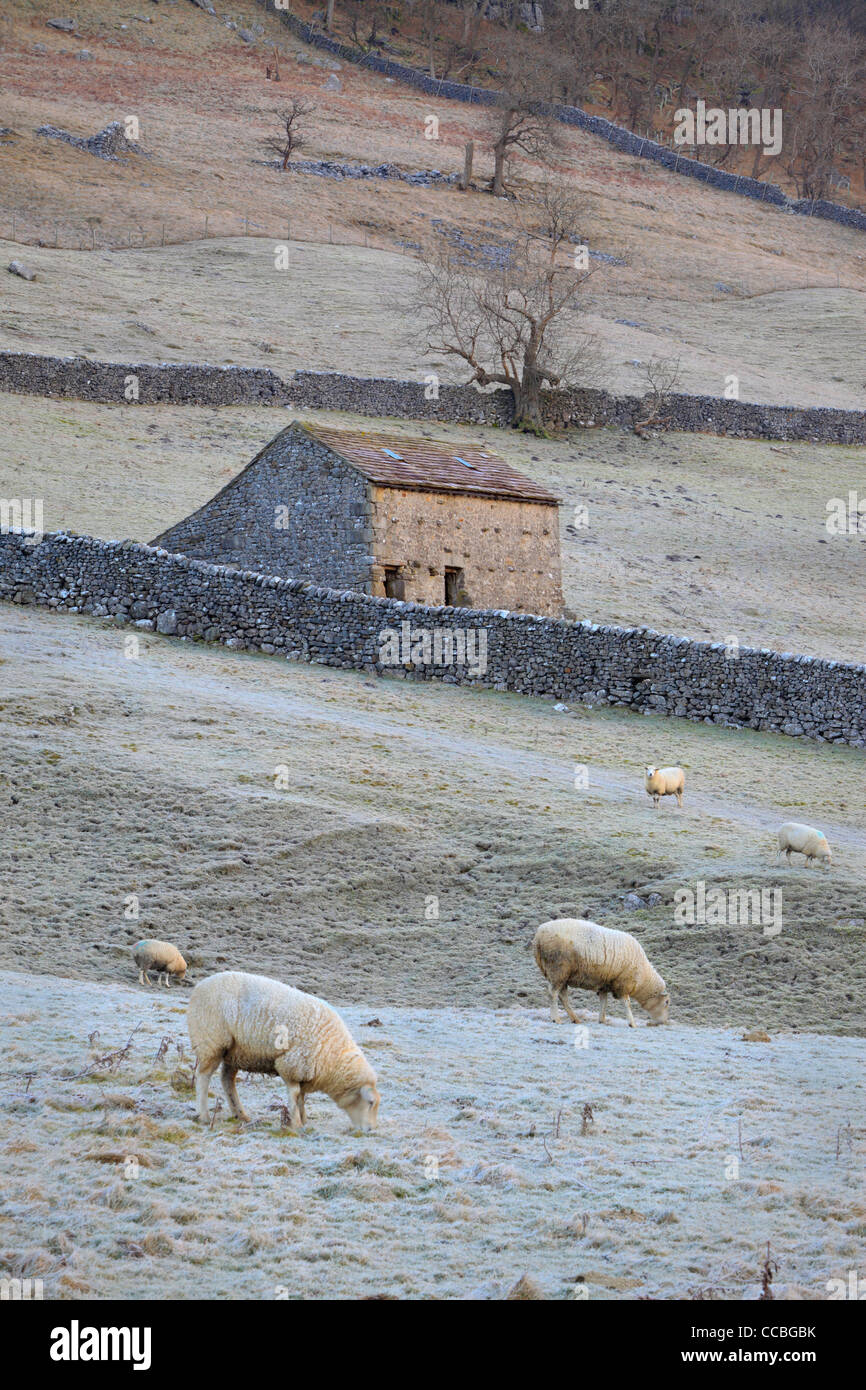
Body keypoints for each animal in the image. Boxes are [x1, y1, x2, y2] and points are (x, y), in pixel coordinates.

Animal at [187, 973, 380, 1134]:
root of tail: (199, 986)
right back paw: (204, 1115)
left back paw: (241, 1115)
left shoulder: (304, 1071)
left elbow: (302, 1096)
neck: (333, 1056)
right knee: (203, 1077)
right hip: (211, 1042)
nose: (370, 1130)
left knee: (227, 1080)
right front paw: (296, 1123)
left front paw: (303, 1118)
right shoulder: (291, 1065)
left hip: (235, 1052)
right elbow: (295, 1094)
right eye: (370, 1102)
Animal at [536, 917, 670, 1028]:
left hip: (562, 976)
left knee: (563, 997)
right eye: (666, 1002)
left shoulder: (604, 984)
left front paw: (602, 1020)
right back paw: (556, 1019)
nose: (664, 1022)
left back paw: (575, 1019)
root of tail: (538, 934)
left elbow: (603, 1001)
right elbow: (627, 1004)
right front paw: (632, 1023)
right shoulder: (623, 984)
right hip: (558, 969)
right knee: (553, 994)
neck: (644, 978)